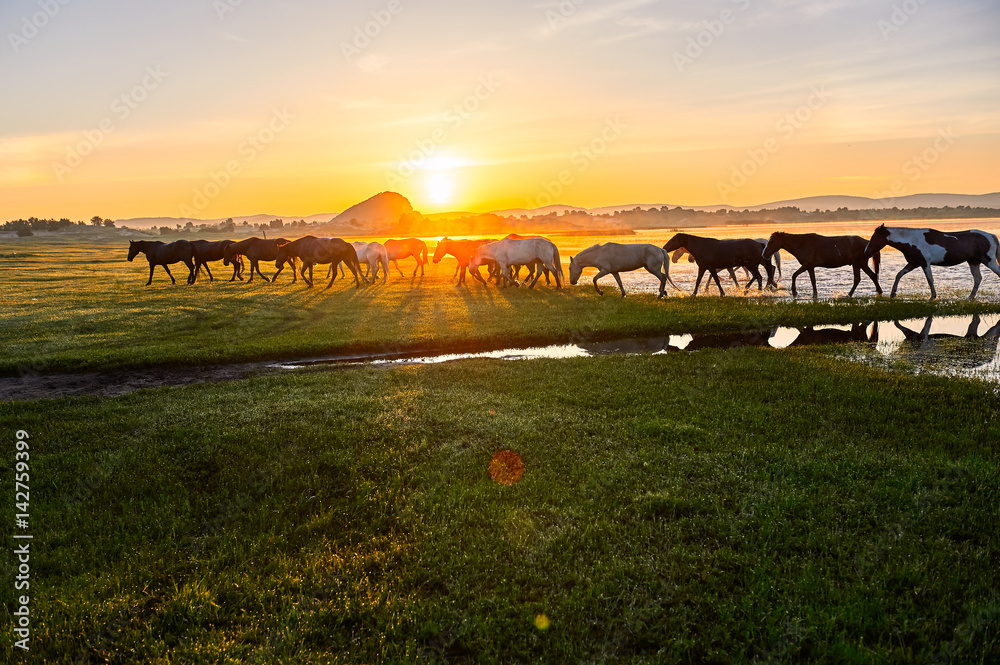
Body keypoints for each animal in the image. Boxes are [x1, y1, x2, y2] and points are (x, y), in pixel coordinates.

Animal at [860, 226, 1000, 298]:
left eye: (875, 237)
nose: (866, 251)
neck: (912, 240)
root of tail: (991, 236)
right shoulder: (913, 263)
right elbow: (899, 274)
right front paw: (893, 293)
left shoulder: (924, 263)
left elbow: (929, 279)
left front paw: (933, 296)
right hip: (973, 262)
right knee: (977, 278)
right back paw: (970, 297)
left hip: (989, 261)